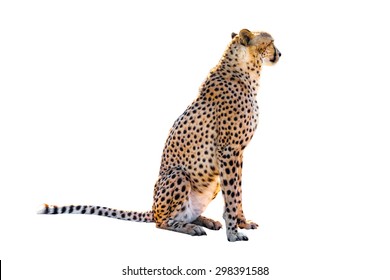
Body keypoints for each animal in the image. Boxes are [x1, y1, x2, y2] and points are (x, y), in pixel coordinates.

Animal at [38, 29, 280, 242]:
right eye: (271, 42)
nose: (280, 54)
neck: (247, 71)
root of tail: (153, 208)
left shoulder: (237, 154)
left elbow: (237, 193)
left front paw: (242, 223)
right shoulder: (229, 151)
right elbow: (232, 195)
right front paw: (233, 234)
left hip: (211, 183)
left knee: (183, 214)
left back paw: (204, 221)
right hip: (179, 174)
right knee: (162, 222)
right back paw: (191, 228)